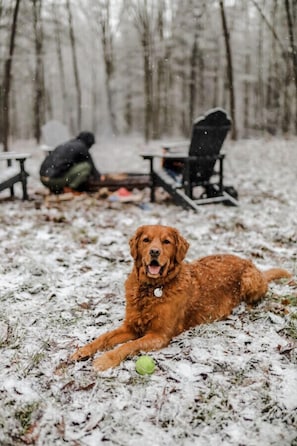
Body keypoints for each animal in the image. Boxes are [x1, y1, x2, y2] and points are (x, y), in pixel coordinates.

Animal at [70, 225, 290, 372]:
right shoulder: (130, 326)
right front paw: (83, 350)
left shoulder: (159, 335)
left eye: (166, 241)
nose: (154, 252)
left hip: (249, 279)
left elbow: (128, 345)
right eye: (146, 240)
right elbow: (104, 337)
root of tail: (251, 263)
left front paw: (105, 360)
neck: (152, 289)